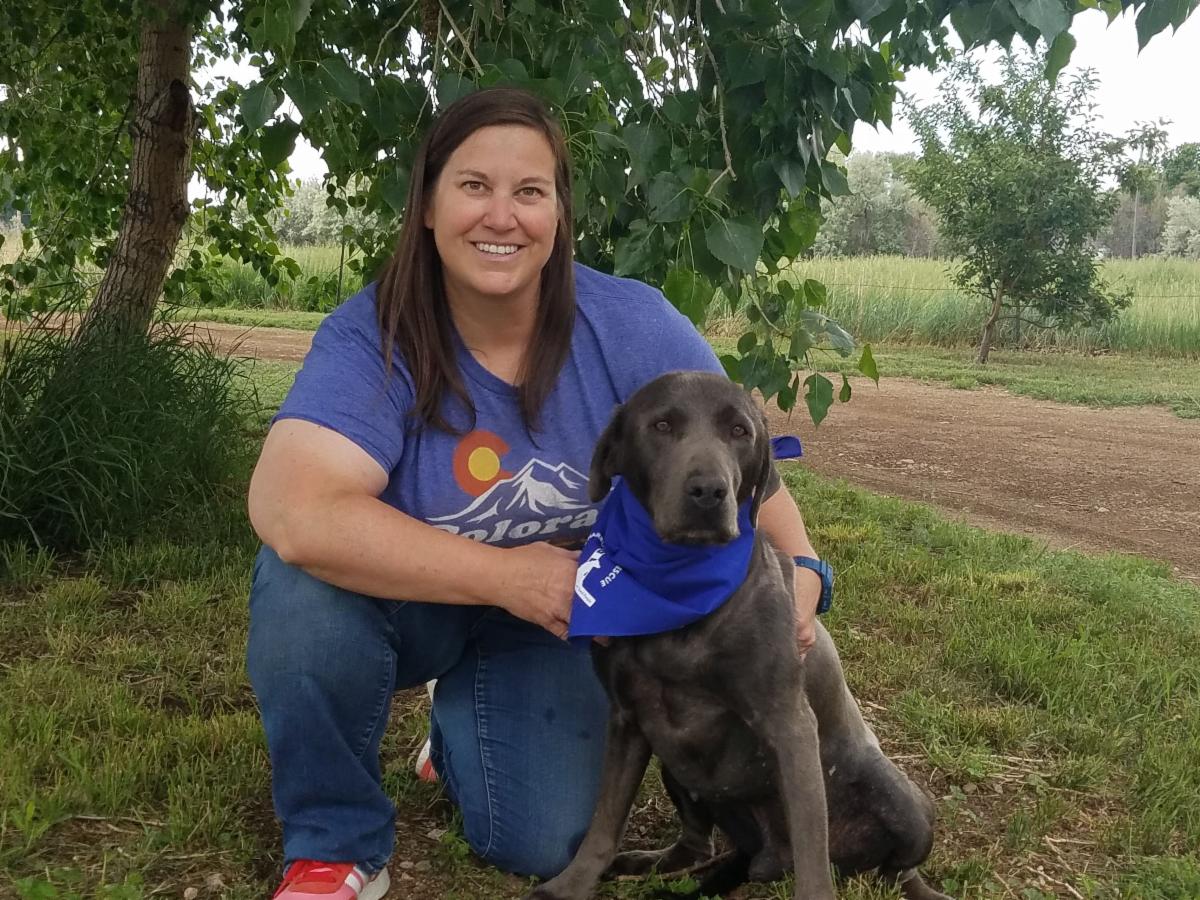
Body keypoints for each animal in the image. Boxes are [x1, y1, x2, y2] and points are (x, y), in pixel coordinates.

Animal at [526, 372, 950, 900]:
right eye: (661, 425)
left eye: (739, 432)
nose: (709, 491)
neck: (680, 592)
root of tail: (767, 859)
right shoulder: (627, 719)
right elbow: (605, 822)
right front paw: (572, 884)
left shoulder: (789, 725)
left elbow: (814, 860)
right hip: (677, 766)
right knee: (697, 843)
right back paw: (656, 864)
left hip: (904, 804)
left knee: (893, 870)